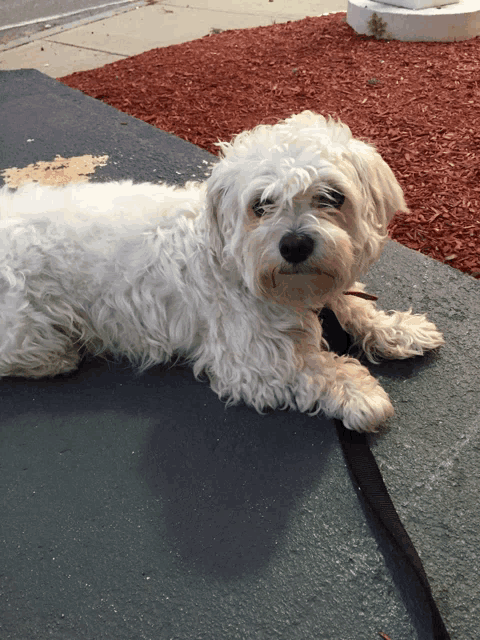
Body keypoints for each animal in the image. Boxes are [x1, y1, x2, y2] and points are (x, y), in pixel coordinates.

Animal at [0, 112, 442, 432]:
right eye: (260, 205)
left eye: (332, 197)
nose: (294, 245)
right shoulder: (251, 360)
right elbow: (314, 367)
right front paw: (360, 394)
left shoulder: (328, 288)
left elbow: (356, 306)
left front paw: (399, 329)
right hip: (26, 326)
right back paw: (58, 358)